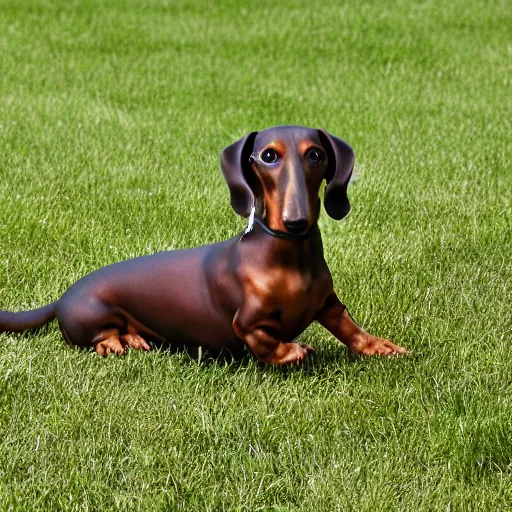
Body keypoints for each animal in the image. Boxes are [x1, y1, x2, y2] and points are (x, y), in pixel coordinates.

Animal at [1, 125, 408, 362]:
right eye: (268, 156)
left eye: (316, 154)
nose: (296, 221)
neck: (290, 258)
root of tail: (62, 297)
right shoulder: (247, 322)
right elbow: (266, 341)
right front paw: (294, 350)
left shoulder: (328, 303)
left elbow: (348, 326)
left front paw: (377, 345)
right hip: (93, 314)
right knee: (93, 338)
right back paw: (116, 342)